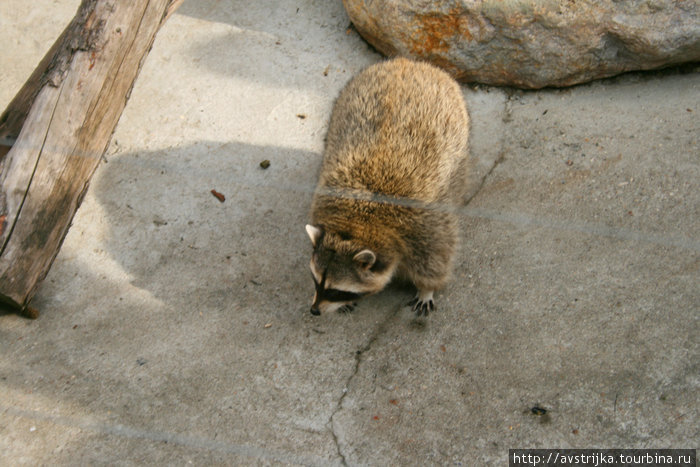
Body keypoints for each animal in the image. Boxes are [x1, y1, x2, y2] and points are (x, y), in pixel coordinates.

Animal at [306, 56, 470, 316]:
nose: (314, 310)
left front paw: (427, 288)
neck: (357, 225)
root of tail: (407, 62)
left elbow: (437, 260)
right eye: (316, 281)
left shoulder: (425, 230)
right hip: (345, 102)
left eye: (336, 291)